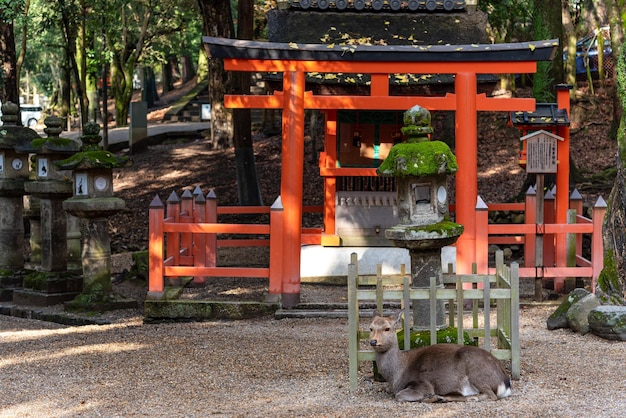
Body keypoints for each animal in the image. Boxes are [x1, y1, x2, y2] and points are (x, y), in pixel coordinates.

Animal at [368, 310, 510, 402]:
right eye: (370, 328)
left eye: (387, 328)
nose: (373, 341)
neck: (395, 377)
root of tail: (505, 382)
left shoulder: (423, 383)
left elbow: (399, 396)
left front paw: (427, 396)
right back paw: (441, 397)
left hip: (478, 374)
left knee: (491, 395)